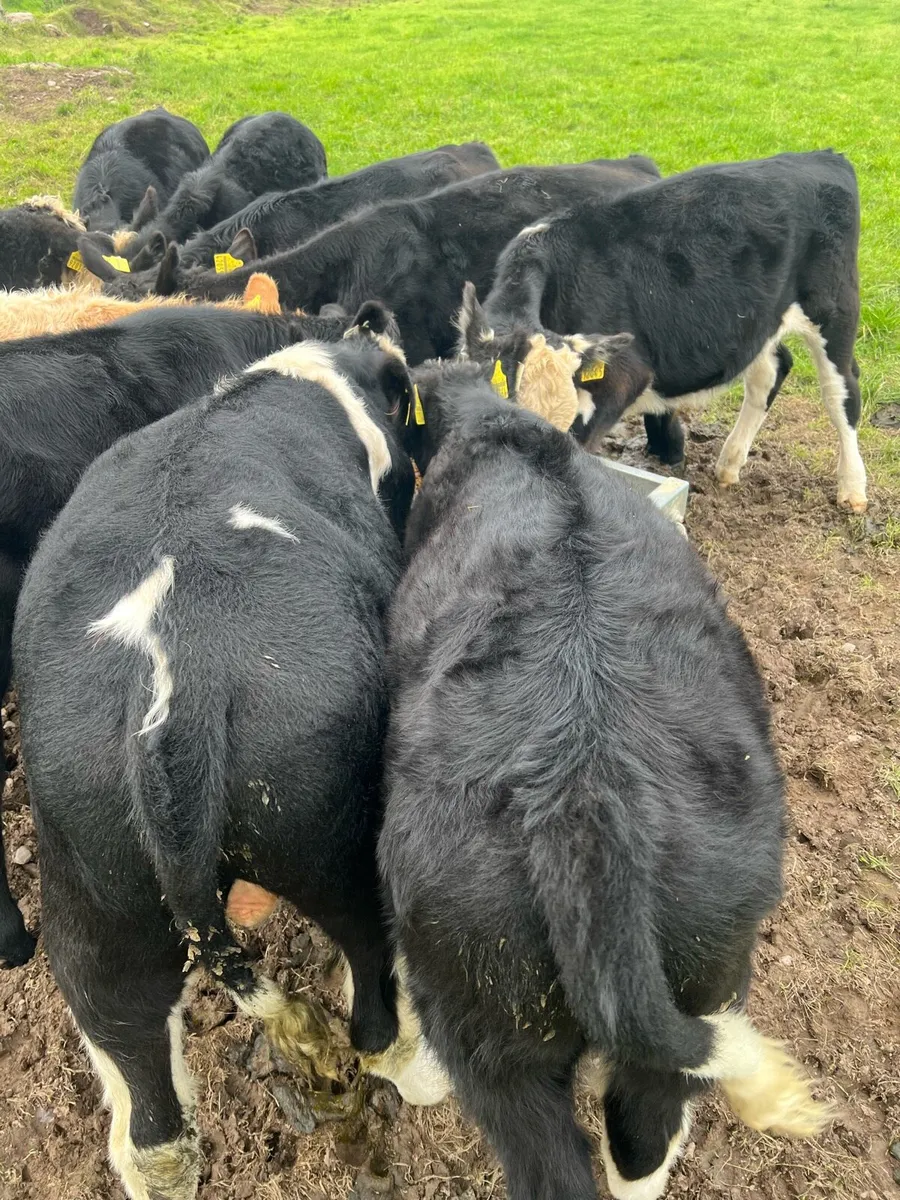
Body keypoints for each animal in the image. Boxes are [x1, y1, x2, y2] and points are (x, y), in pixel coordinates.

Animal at [456, 150, 866, 512]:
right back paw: (729, 464)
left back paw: (852, 489)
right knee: (770, 370)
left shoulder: (623, 377)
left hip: (834, 306)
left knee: (841, 391)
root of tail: (820, 157)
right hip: (759, 317)